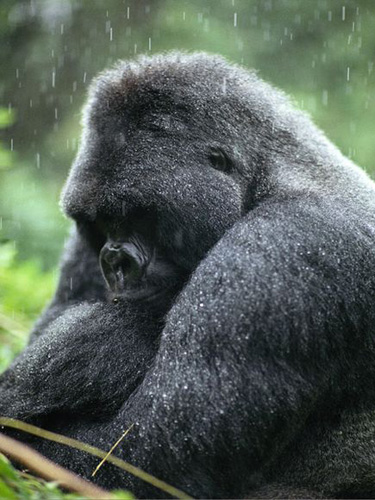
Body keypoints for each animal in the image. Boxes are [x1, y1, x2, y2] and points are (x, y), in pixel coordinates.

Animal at [1, 52, 375, 498]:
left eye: (139, 215)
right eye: (103, 223)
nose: (115, 262)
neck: (268, 175)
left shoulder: (287, 247)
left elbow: (151, 457)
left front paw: (103, 346)